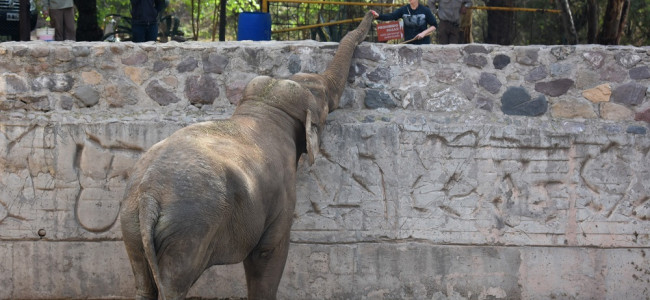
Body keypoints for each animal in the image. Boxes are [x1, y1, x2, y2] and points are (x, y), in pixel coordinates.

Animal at [120, 11, 374, 300]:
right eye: (324, 97)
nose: (374, 13)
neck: (264, 106)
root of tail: (149, 196)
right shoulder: (282, 193)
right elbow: (269, 251)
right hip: (189, 227)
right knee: (176, 281)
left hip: (132, 224)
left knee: (143, 280)